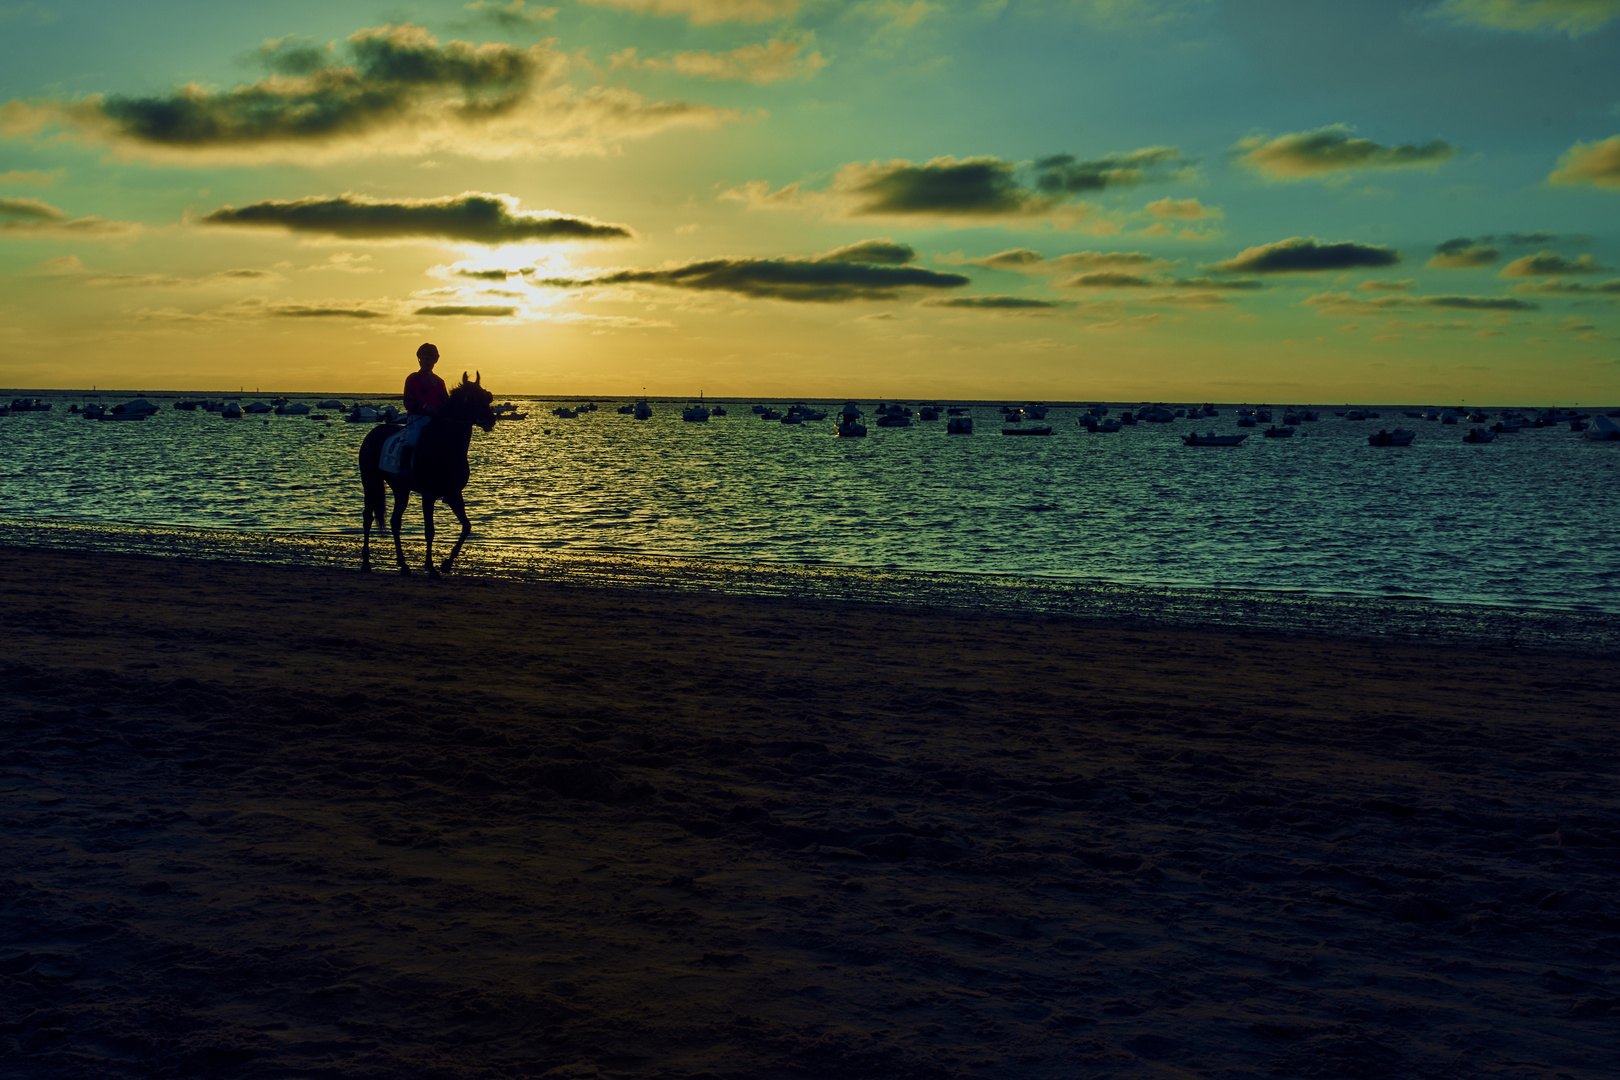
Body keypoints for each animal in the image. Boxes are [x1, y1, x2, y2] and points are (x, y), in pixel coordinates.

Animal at [358, 372, 495, 579]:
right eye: (471, 398)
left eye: (487, 396)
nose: (490, 419)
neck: (445, 448)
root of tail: (372, 433)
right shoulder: (428, 495)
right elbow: (430, 530)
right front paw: (431, 567)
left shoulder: (454, 494)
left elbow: (466, 526)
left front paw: (446, 563)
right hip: (370, 482)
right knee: (368, 517)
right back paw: (366, 562)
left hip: (401, 490)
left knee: (395, 522)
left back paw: (404, 565)